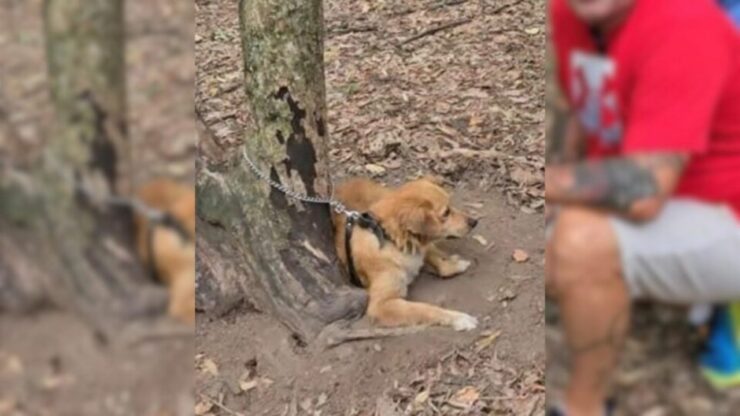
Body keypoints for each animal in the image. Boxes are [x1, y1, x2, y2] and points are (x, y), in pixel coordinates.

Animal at [332, 176, 482, 332]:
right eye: (446, 213)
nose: (474, 222)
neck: (388, 236)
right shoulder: (381, 305)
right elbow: (424, 309)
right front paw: (458, 318)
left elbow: (435, 260)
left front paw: (453, 264)